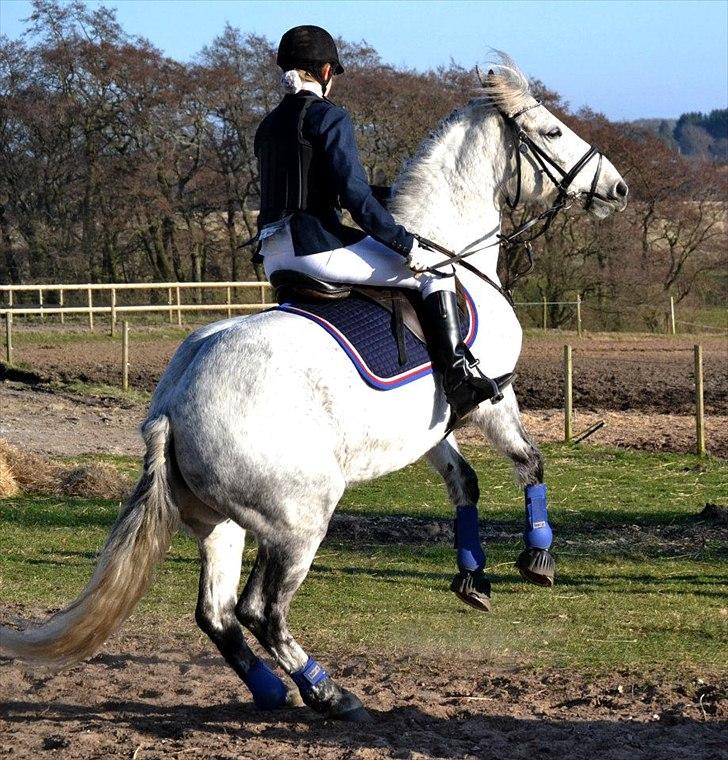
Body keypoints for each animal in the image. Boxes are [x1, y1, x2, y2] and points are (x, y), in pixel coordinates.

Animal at [0, 56, 628, 722]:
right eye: (552, 131)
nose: (617, 189)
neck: (456, 257)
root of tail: (171, 405)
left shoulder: (429, 427)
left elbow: (465, 482)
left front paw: (472, 577)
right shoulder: (491, 396)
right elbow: (529, 461)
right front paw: (538, 557)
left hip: (221, 524)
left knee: (217, 614)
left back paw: (272, 690)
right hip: (299, 520)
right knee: (261, 611)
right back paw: (329, 692)